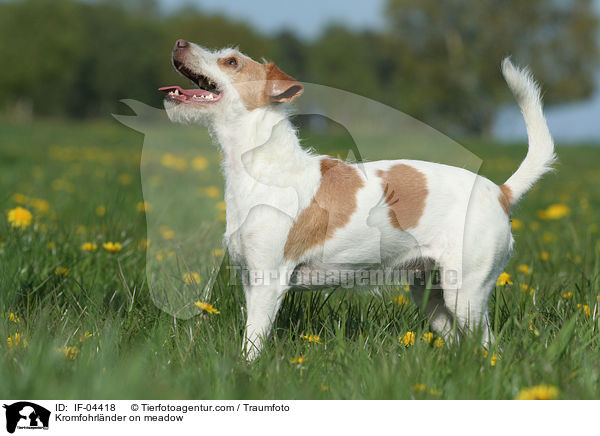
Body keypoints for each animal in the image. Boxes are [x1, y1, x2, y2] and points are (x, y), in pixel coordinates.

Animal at [159, 39, 552, 360]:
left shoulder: (268, 281)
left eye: (231, 62)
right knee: (459, 341)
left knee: (487, 344)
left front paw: (245, 372)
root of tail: (500, 192)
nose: (179, 42)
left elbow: (252, 343)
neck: (263, 166)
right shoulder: (249, 278)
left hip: (466, 293)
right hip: (431, 296)